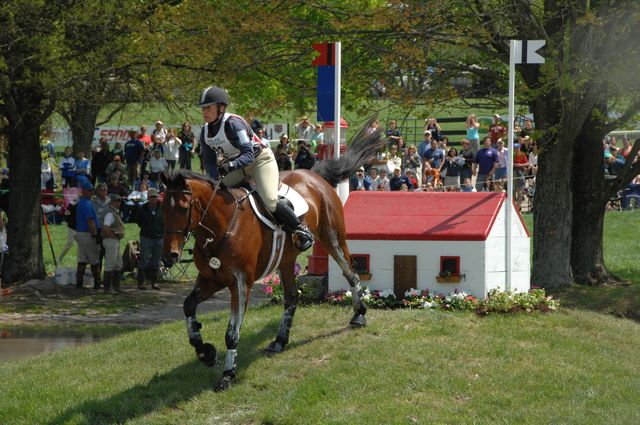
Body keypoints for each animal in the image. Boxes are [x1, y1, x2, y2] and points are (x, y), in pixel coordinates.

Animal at [160, 120, 384, 390]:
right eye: (161, 208)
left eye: (183, 208)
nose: (169, 256)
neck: (222, 226)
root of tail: (313, 175)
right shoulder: (210, 279)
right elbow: (188, 307)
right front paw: (206, 352)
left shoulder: (240, 284)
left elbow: (232, 334)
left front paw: (227, 375)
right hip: (286, 260)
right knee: (291, 297)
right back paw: (279, 341)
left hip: (332, 238)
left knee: (351, 273)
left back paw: (359, 316)